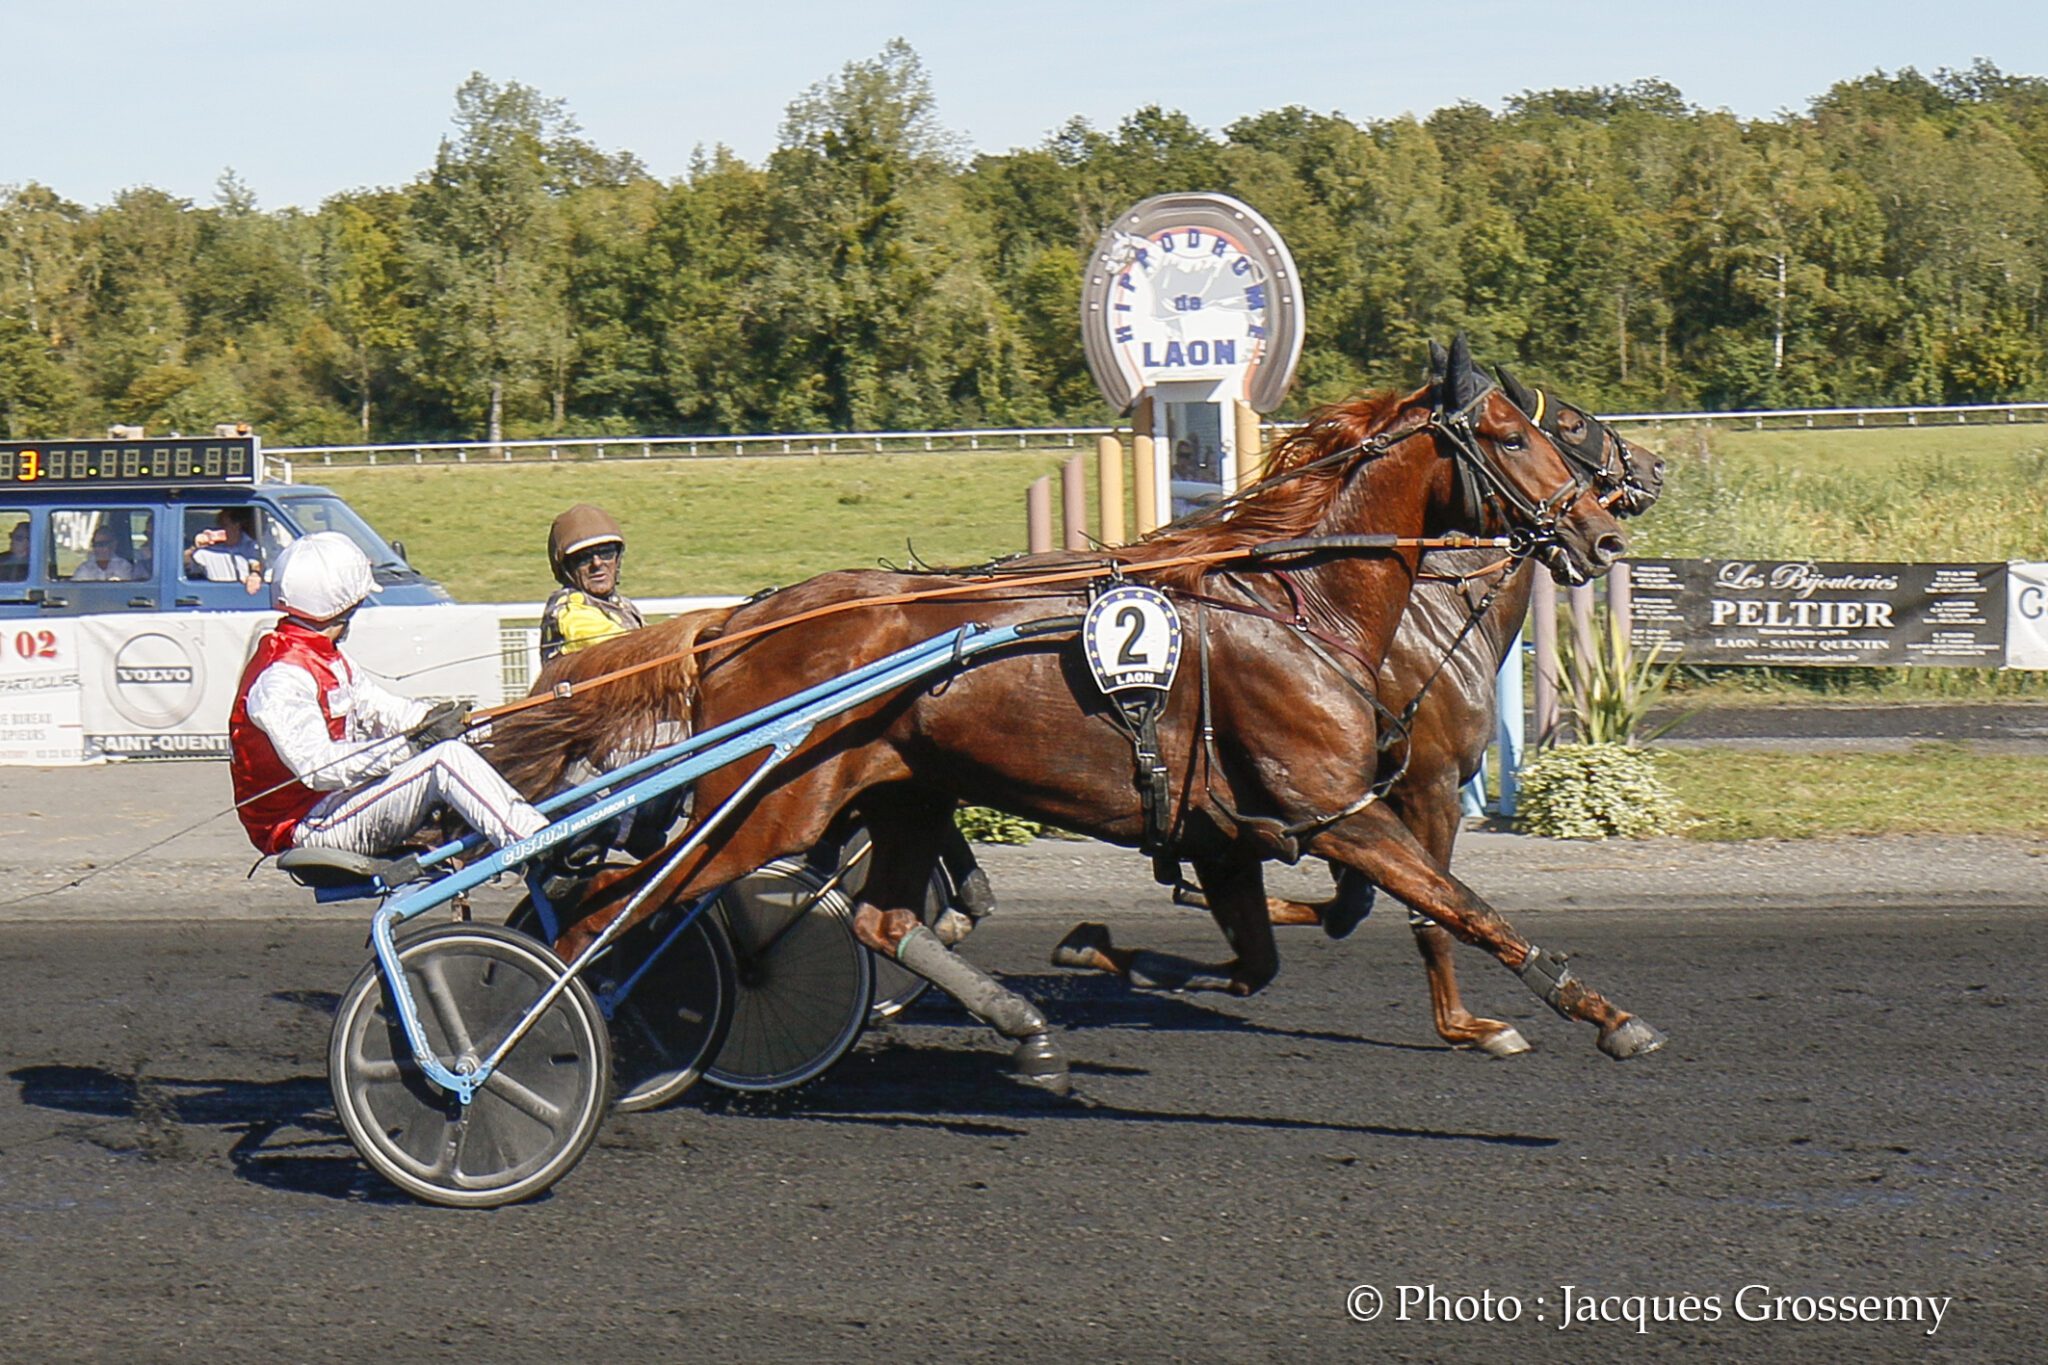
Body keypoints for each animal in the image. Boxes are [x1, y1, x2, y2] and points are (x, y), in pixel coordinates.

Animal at [487, 341, 1654, 1096]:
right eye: (1518, 431)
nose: (1605, 530)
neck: (1297, 607)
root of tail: (740, 620)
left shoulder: (1236, 832)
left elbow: (1265, 953)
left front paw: (1104, 951)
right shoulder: (1350, 807)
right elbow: (1458, 907)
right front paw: (1589, 1017)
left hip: (900, 791)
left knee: (878, 918)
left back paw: (1021, 1030)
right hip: (771, 803)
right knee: (611, 907)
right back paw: (540, 1040)